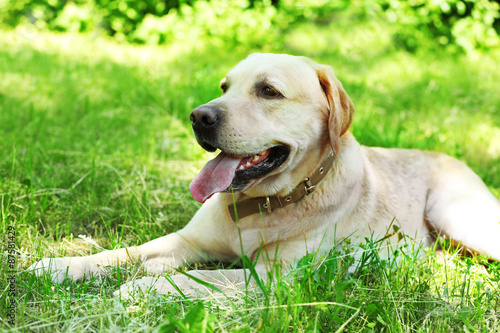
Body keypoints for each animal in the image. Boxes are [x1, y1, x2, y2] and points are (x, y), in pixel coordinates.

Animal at [28, 53, 500, 296]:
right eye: (224, 87)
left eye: (269, 91)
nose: (198, 117)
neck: (262, 206)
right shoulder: (187, 240)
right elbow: (124, 253)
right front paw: (61, 265)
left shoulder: (276, 276)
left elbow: (204, 276)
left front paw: (144, 289)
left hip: (456, 216)